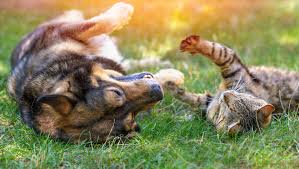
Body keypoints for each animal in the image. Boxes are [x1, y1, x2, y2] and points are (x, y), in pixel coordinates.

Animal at [7, 2, 164, 143]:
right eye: (130, 118)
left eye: (116, 93)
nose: (158, 91)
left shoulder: (58, 31)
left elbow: (96, 24)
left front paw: (124, 9)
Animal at [161, 35, 298, 135]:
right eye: (241, 99)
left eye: (230, 107)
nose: (226, 95)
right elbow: (189, 96)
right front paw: (171, 86)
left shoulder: (231, 63)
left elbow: (217, 50)